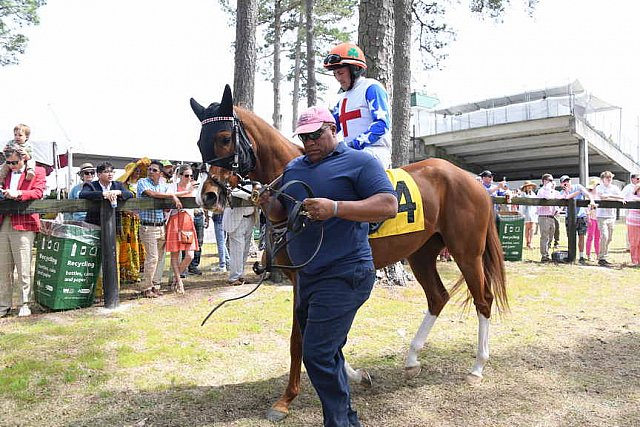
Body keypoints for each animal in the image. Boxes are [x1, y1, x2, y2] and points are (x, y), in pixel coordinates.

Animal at [188, 85, 508, 422]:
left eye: (225, 137)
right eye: (199, 142)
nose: (208, 196)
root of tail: (472, 180)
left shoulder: (306, 278)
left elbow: (300, 338)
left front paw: (286, 399)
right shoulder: (305, 280)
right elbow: (323, 338)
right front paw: (355, 375)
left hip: (467, 252)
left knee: (483, 300)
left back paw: (477, 367)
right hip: (421, 253)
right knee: (437, 297)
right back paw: (411, 359)